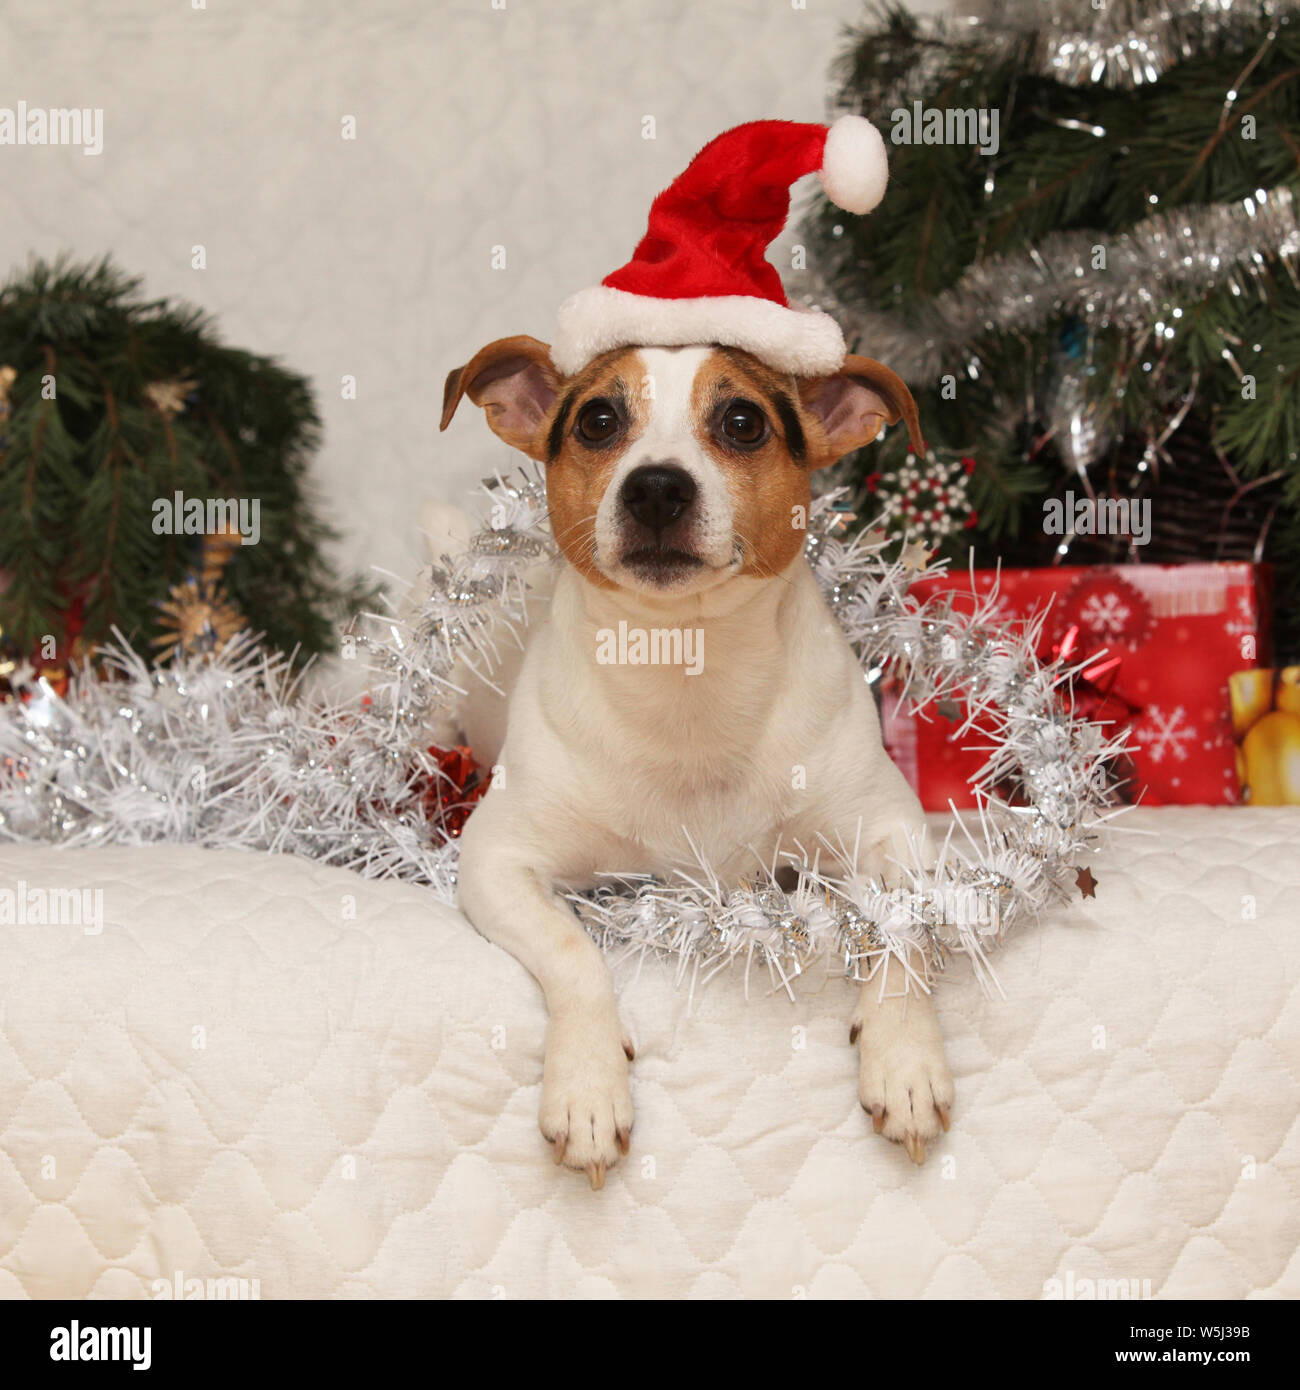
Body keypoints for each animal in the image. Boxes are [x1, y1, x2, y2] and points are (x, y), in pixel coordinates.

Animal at [439, 333, 956, 1184]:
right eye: (598, 420)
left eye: (743, 421)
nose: (656, 488)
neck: (688, 667)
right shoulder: (495, 858)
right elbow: (573, 952)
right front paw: (587, 1087)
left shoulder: (892, 829)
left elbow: (905, 932)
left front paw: (906, 1059)